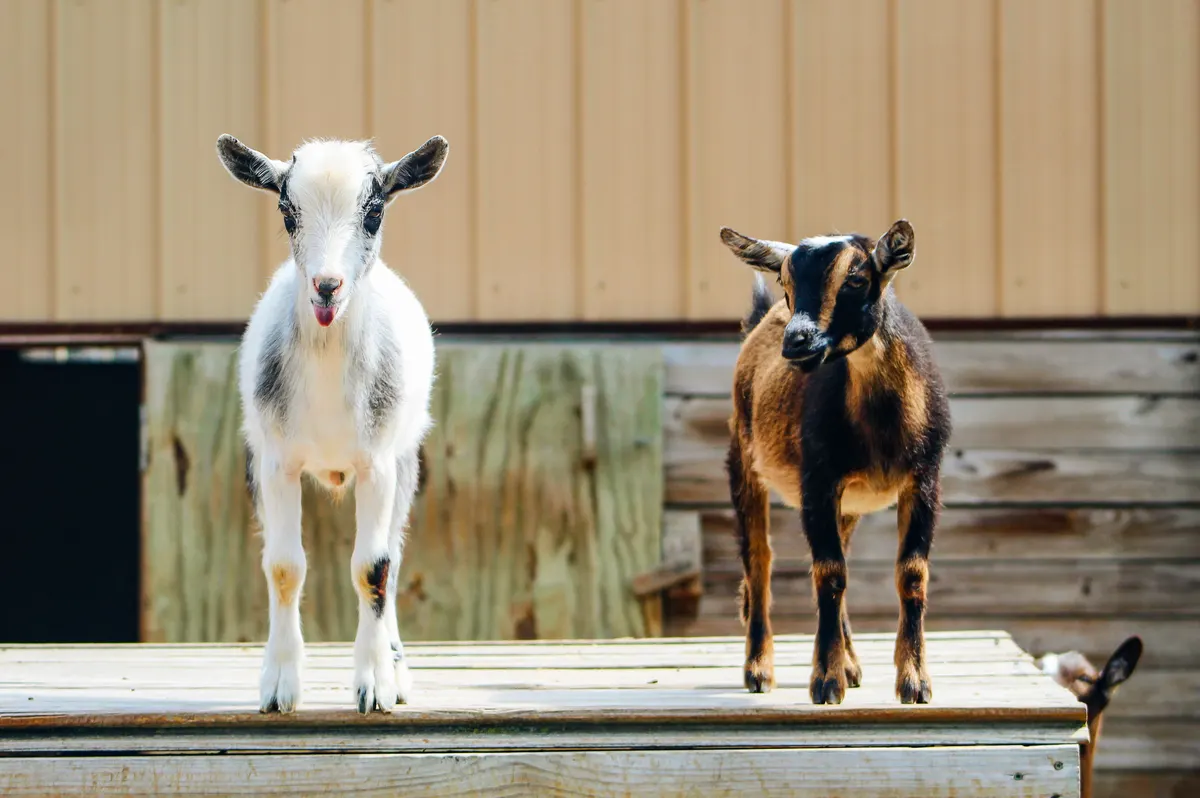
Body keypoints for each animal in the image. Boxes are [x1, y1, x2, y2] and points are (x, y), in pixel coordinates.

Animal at [215, 132, 449, 715]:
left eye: (374, 212)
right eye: (286, 212)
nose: (327, 286)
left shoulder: (378, 463)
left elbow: (374, 567)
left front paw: (376, 684)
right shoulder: (275, 463)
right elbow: (284, 566)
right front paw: (279, 685)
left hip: (406, 462)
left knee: (393, 555)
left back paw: (397, 667)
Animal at [719, 220, 951, 705]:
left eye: (856, 279)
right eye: (786, 285)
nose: (796, 341)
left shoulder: (925, 478)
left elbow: (911, 573)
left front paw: (915, 682)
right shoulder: (818, 479)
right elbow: (828, 573)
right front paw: (826, 683)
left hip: (848, 504)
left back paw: (850, 662)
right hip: (743, 462)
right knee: (759, 558)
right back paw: (759, 670)